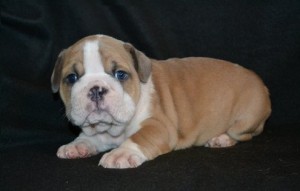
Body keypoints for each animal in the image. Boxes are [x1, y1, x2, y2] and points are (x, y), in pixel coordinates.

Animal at [51, 34, 272, 169]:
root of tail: (261, 84)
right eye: (71, 78)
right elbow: (89, 137)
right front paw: (77, 145)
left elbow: (140, 137)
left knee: (244, 134)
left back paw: (222, 138)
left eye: (120, 74)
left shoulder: (159, 126)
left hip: (245, 120)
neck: (113, 129)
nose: (96, 89)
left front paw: (121, 153)